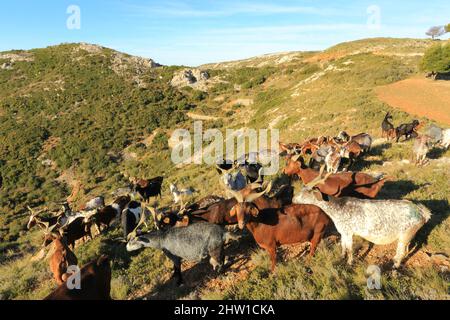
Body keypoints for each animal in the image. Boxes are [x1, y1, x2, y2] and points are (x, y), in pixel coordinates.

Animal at [294, 188, 430, 268]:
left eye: (306, 193)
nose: (293, 198)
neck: (336, 208)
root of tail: (423, 212)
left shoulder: (348, 232)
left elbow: (349, 249)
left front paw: (349, 263)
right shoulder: (343, 231)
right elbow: (343, 246)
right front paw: (341, 258)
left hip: (405, 234)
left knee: (400, 253)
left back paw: (394, 269)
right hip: (408, 235)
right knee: (406, 250)